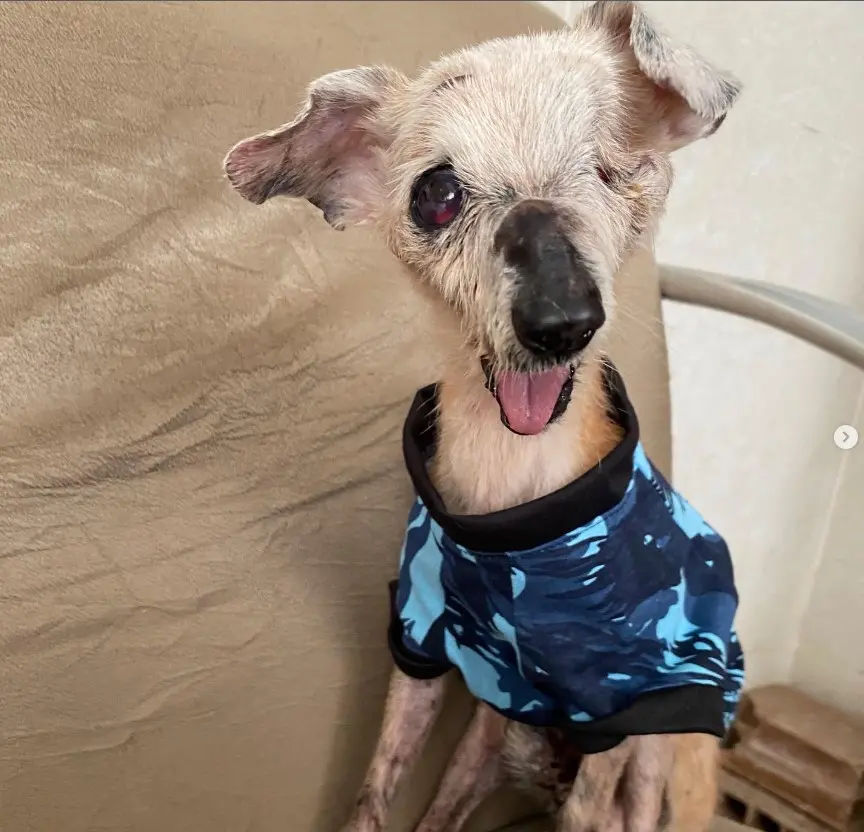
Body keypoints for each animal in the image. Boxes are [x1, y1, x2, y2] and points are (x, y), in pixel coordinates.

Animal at [223, 2, 744, 830]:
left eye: (616, 169)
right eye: (435, 193)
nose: (562, 319)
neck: (513, 489)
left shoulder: (626, 705)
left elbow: (588, 815)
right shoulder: (422, 646)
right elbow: (374, 794)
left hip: (660, 759)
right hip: (493, 732)